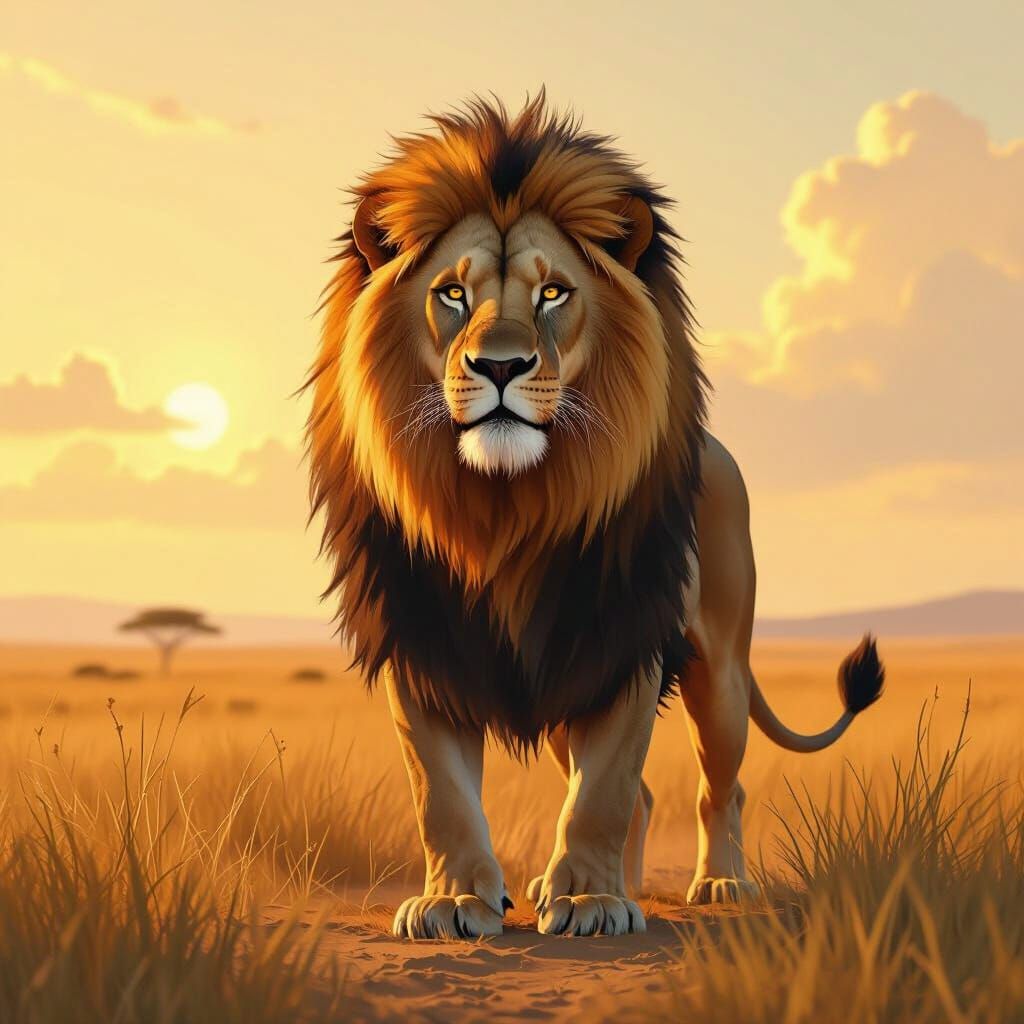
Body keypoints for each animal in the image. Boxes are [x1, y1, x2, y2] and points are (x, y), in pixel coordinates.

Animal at [305, 93, 884, 939]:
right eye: (452, 293)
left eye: (554, 293)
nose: (501, 366)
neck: (502, 510)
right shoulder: (425, 643)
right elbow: (442, 793)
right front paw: (456, 900)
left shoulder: (622, 639)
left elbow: (605, 787)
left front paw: (587, 900)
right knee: (643, 795)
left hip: (718, 671)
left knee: (721, 784)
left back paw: (717, 884)